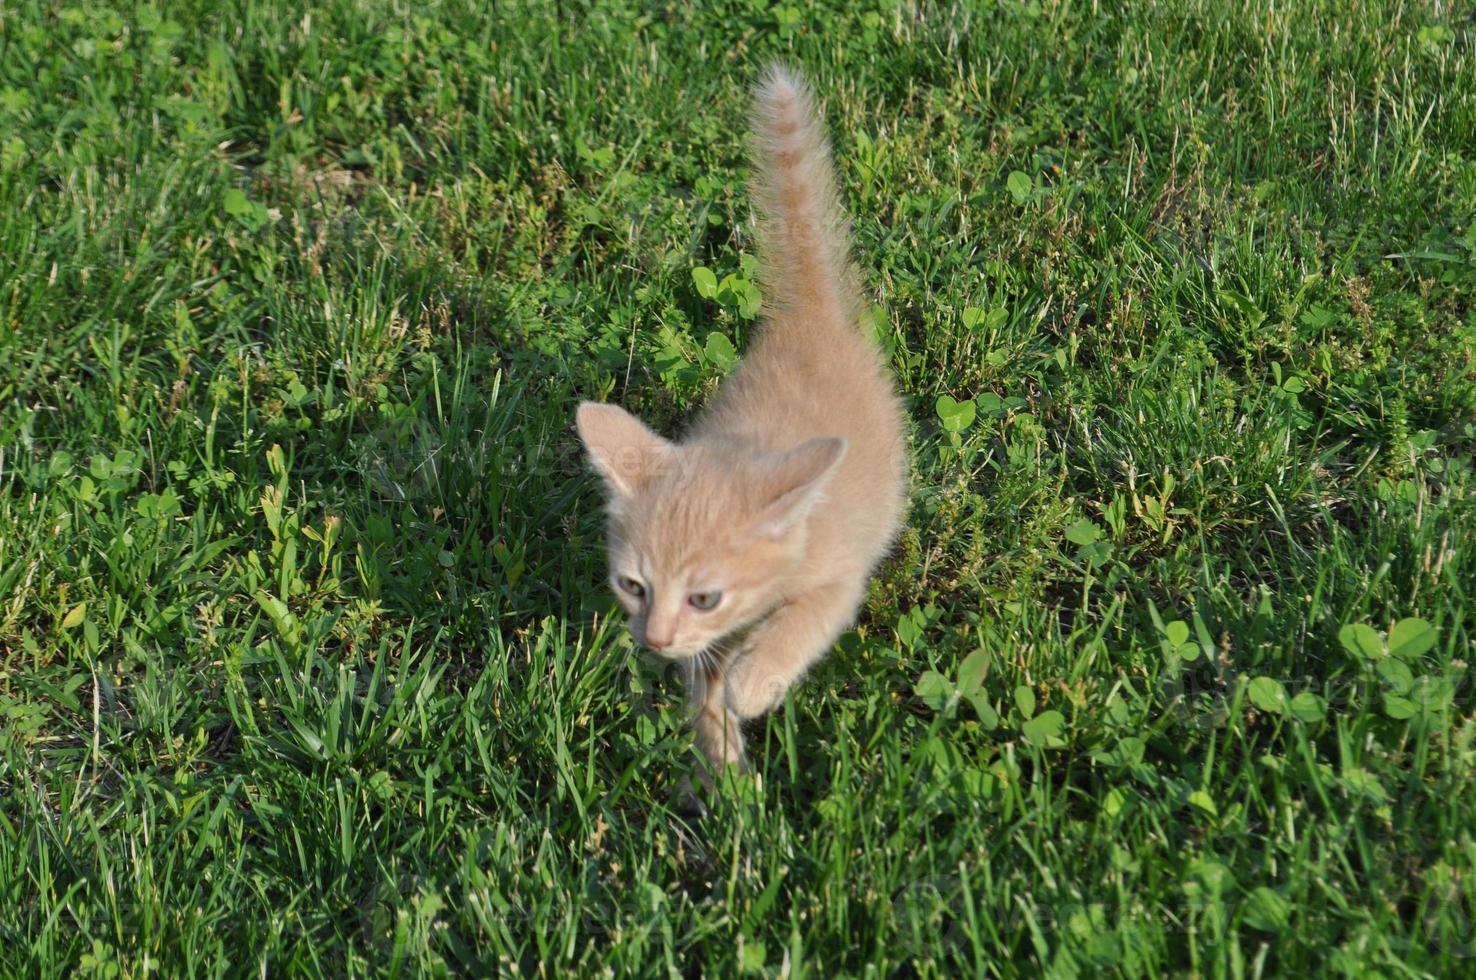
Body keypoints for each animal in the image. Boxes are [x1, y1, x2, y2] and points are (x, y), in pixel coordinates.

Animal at [572, 64, 897, 779]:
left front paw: (755, 679)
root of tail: (806, 321)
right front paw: (725, 767)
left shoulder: (839, 567)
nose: (654, 639)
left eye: (704, 597)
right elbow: (704, 685)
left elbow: (811, 614)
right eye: (632, 585)